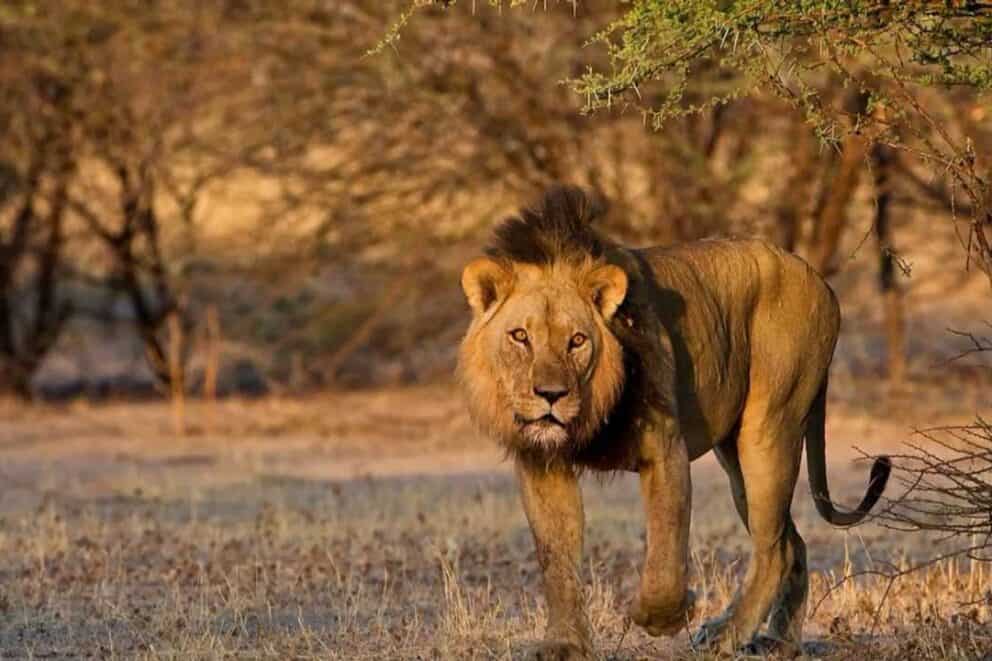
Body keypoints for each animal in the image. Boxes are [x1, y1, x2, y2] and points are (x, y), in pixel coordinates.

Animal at [457, 185, 891, 659]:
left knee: (773, 549)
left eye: (577, 341)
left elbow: (666, 549)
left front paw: (662, 618)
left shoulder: (664, 449)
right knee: (788, 541)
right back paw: (778, 639)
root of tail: (820, 279)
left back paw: (727, 634)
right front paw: (564, 644)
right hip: (735, 457)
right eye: (520, 336)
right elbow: (556, 559)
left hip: (770, 429)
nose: (550, 395)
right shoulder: (543, 463)